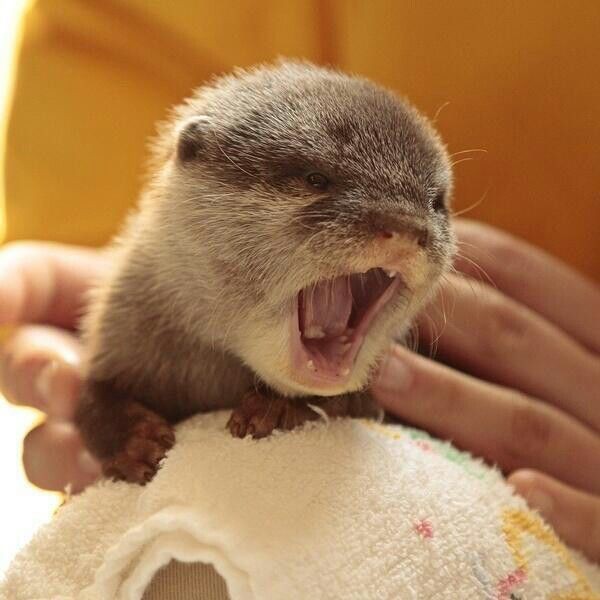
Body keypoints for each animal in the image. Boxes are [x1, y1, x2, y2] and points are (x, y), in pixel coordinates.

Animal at [75, 61, 454, 482]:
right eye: (315, 178)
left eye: (436, 202)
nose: (406, 225)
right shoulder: (121, 327)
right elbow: (88, 399)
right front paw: (134, 443)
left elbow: (356, 406)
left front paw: (275, 407)